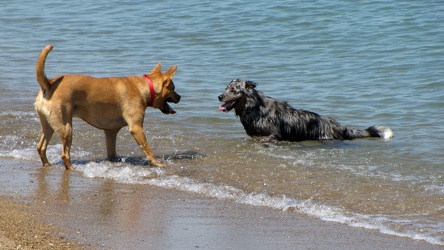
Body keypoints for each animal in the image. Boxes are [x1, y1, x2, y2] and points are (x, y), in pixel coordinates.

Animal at [34, 45, 180, 170]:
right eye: (173, 88)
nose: (180, 97)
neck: (145, 87)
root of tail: (49, 84)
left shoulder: (110, 131)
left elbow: (112, 152)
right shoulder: (136, 128)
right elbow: (148, 149)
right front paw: (156, 163)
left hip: (48, 126)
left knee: (41, 147)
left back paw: (47, 165)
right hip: (66, 127)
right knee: (64, 154)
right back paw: (71, 169)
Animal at [217, 80, 394, 143]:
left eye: (234, 90)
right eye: (225, 88)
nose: (219, 96)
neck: (253, 107)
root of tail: (340, 127)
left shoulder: (274, 135)